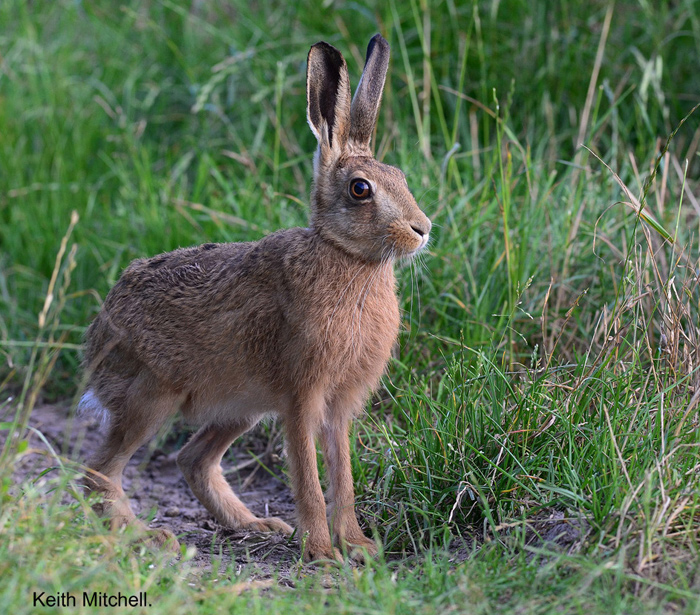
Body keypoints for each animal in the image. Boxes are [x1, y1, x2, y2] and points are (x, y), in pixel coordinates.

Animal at [79, 33, 431, 563]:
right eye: (360, 189)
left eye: (401, 177)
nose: (422, 229)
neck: (348, 258)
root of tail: (98, 332)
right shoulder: (301, 395)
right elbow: (309, 477)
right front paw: (323, 552)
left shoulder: (338, 406)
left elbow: (343, 477)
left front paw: (359, 546)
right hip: (152, 397)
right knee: (99, 471)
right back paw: (144, 537)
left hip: (240, 406)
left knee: (192, 459)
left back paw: (257, 526)